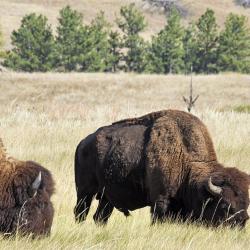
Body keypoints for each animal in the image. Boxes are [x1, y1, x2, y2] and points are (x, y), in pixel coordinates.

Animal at [74, 110, 250, 228]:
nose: (242, 222)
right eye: (225, 206)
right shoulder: (160, 200)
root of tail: (83, 143)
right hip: (85, 192)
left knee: (100, 217)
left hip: (107, 197)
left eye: (247, 203)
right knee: (80, 212)